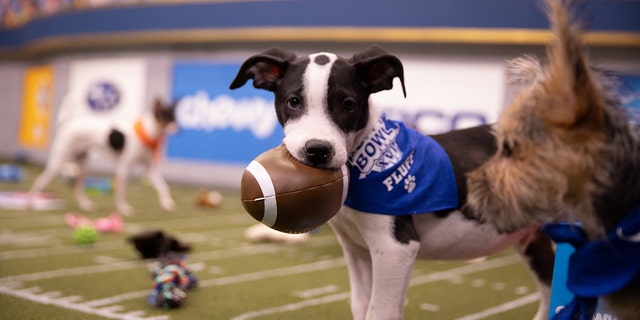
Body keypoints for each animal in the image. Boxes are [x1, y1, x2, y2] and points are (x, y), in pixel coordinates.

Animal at [29, 96, 176, 214]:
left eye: (174, 118)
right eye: (165, 117)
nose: (177, 128)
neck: (147, 134)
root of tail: (67, 124)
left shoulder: (151, 170)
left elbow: (163, 186)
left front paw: (166, 203)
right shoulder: (124, 167)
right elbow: (121, 192)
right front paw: (123, 208)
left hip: (83, 165)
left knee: (76, 188)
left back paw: (85, 204)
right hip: (58, 161)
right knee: (41, 180)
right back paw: (31, 201)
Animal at [230, 45, 556, 320]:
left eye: (348, 104)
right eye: (294, 102)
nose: (318, 150)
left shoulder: (395, 248)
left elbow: (381, 312)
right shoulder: (356, 248)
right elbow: (361, 305)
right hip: (532, 236)